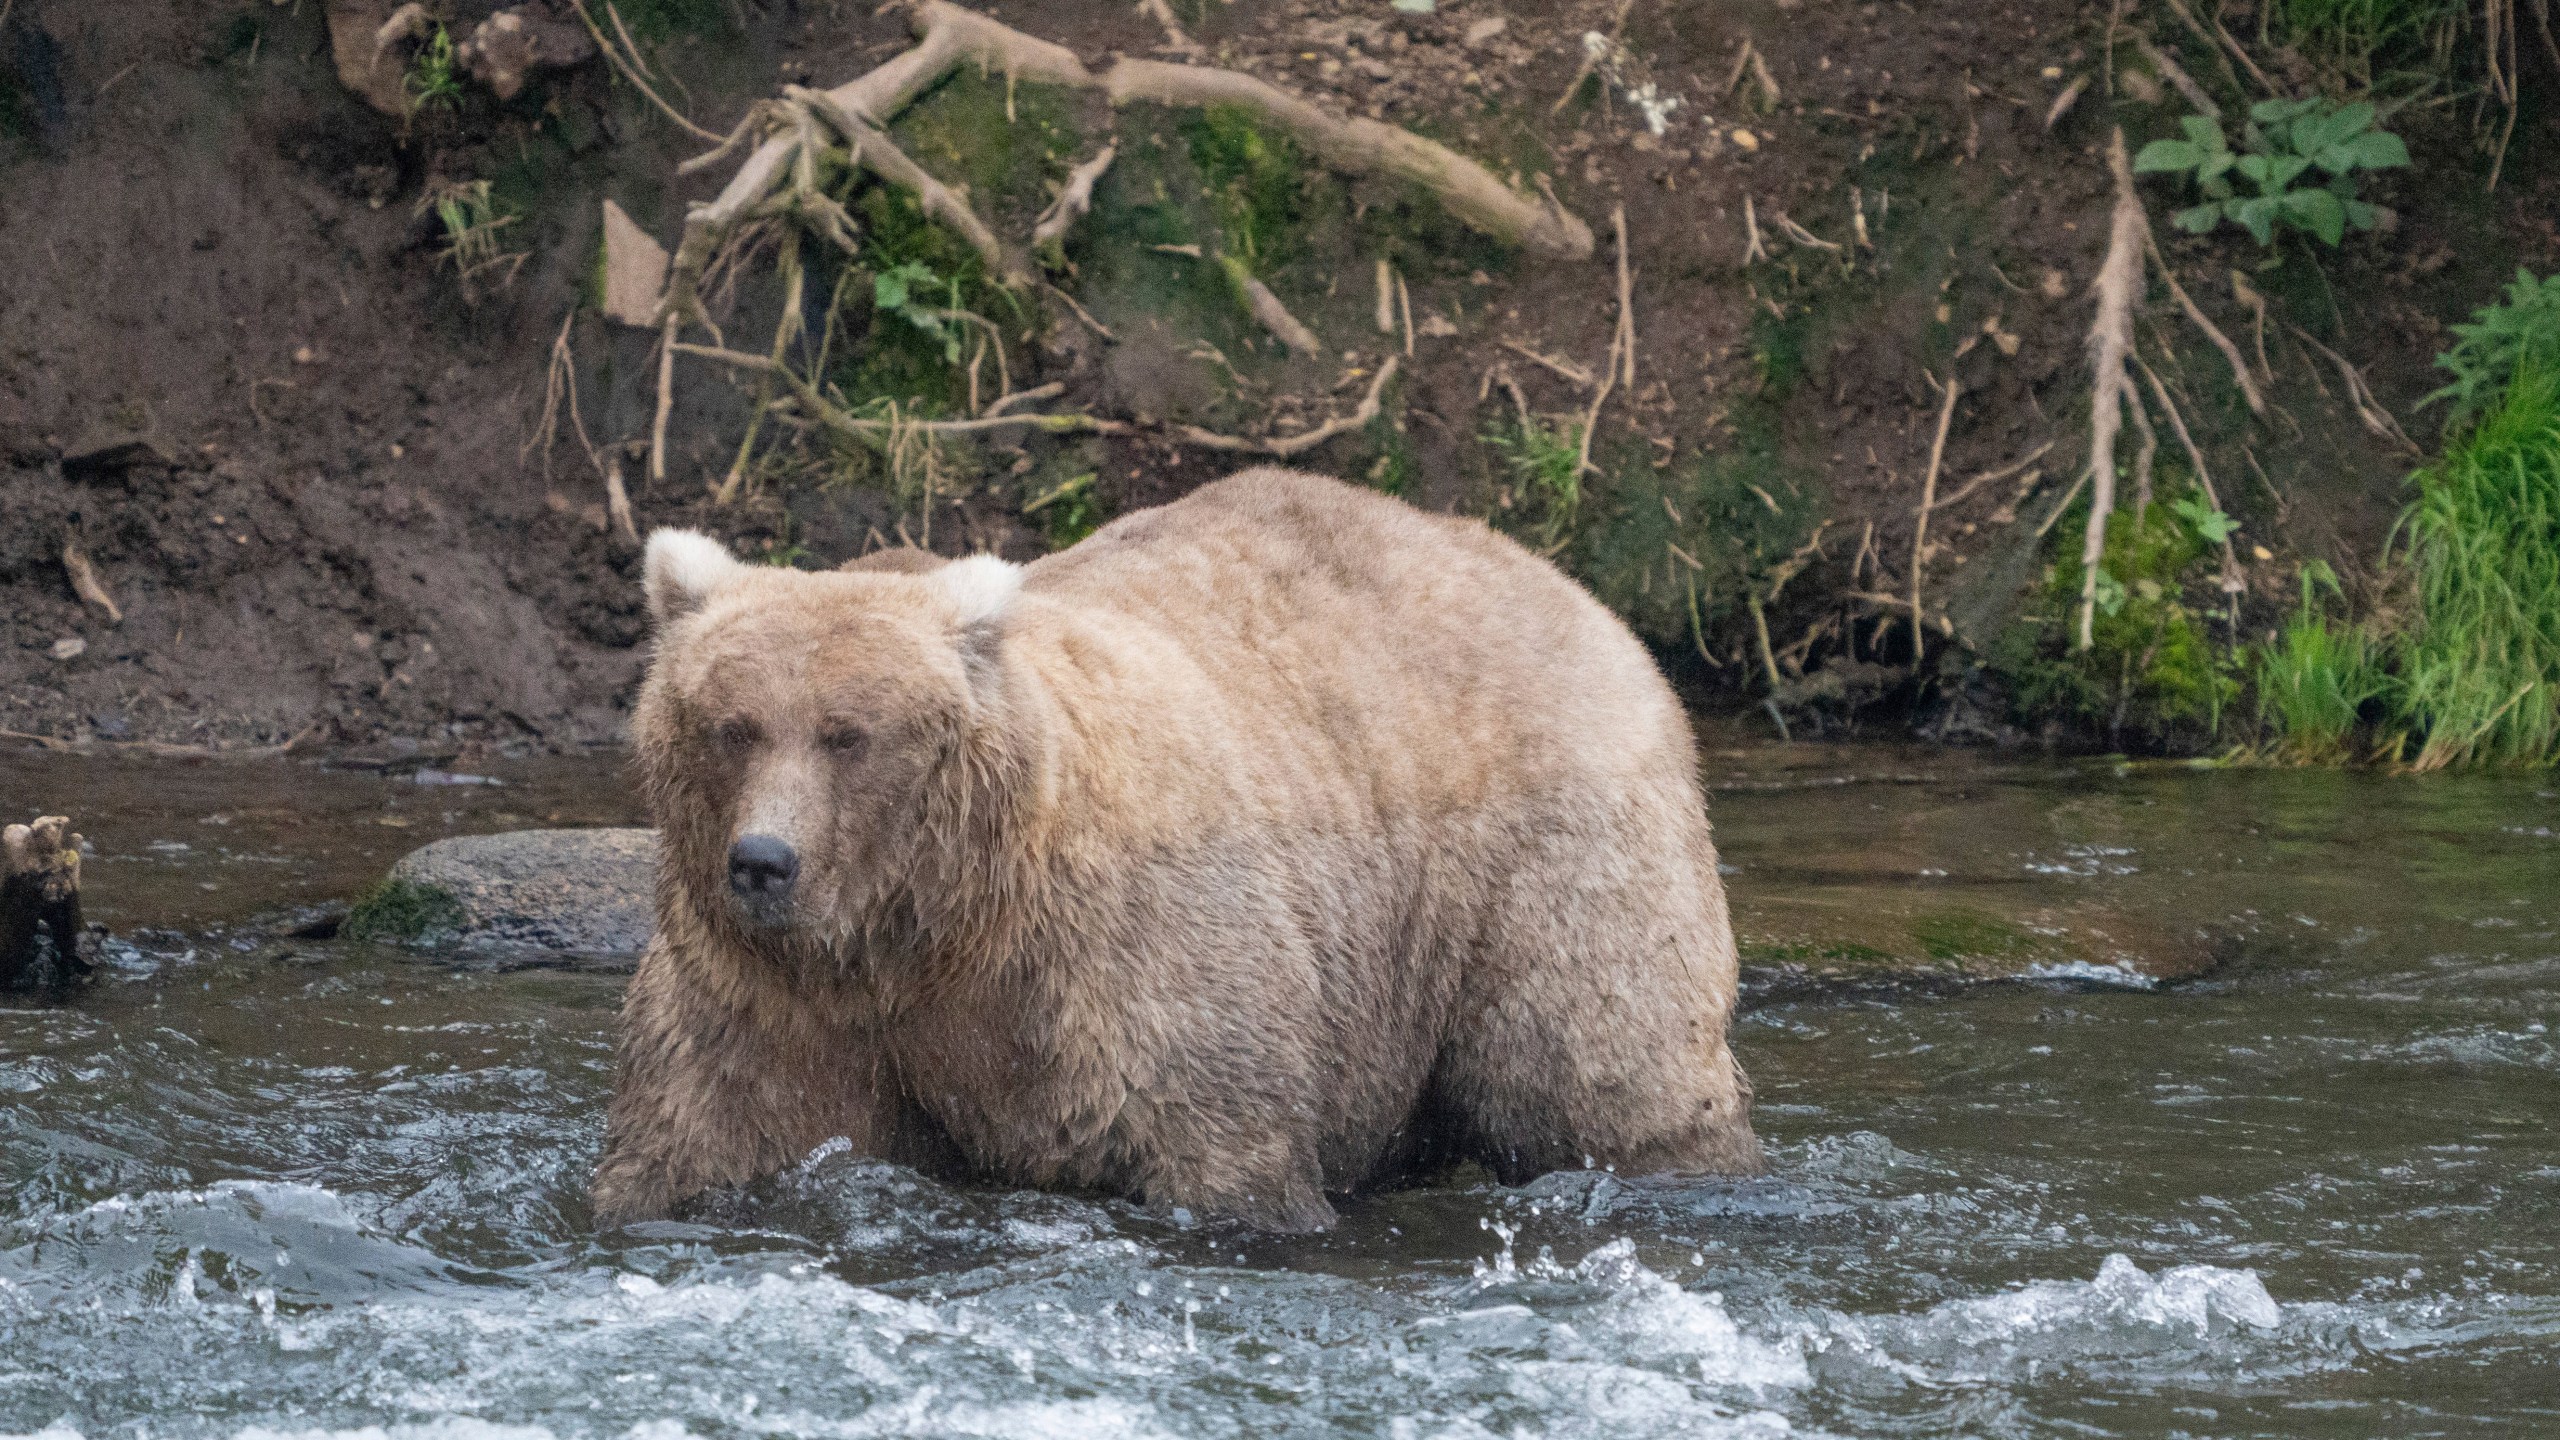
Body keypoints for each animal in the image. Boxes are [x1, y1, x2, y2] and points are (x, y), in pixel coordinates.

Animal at [592, 468, 1760, 1230]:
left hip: (1543, 854)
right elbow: (706, 1132)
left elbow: (1216, 1141)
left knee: (1597, 1065)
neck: (933, 924)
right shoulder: (773, 995)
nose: (763, 861)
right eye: (731, 725)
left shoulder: (1122, 962)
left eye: (848, 733)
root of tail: (1568, 587)